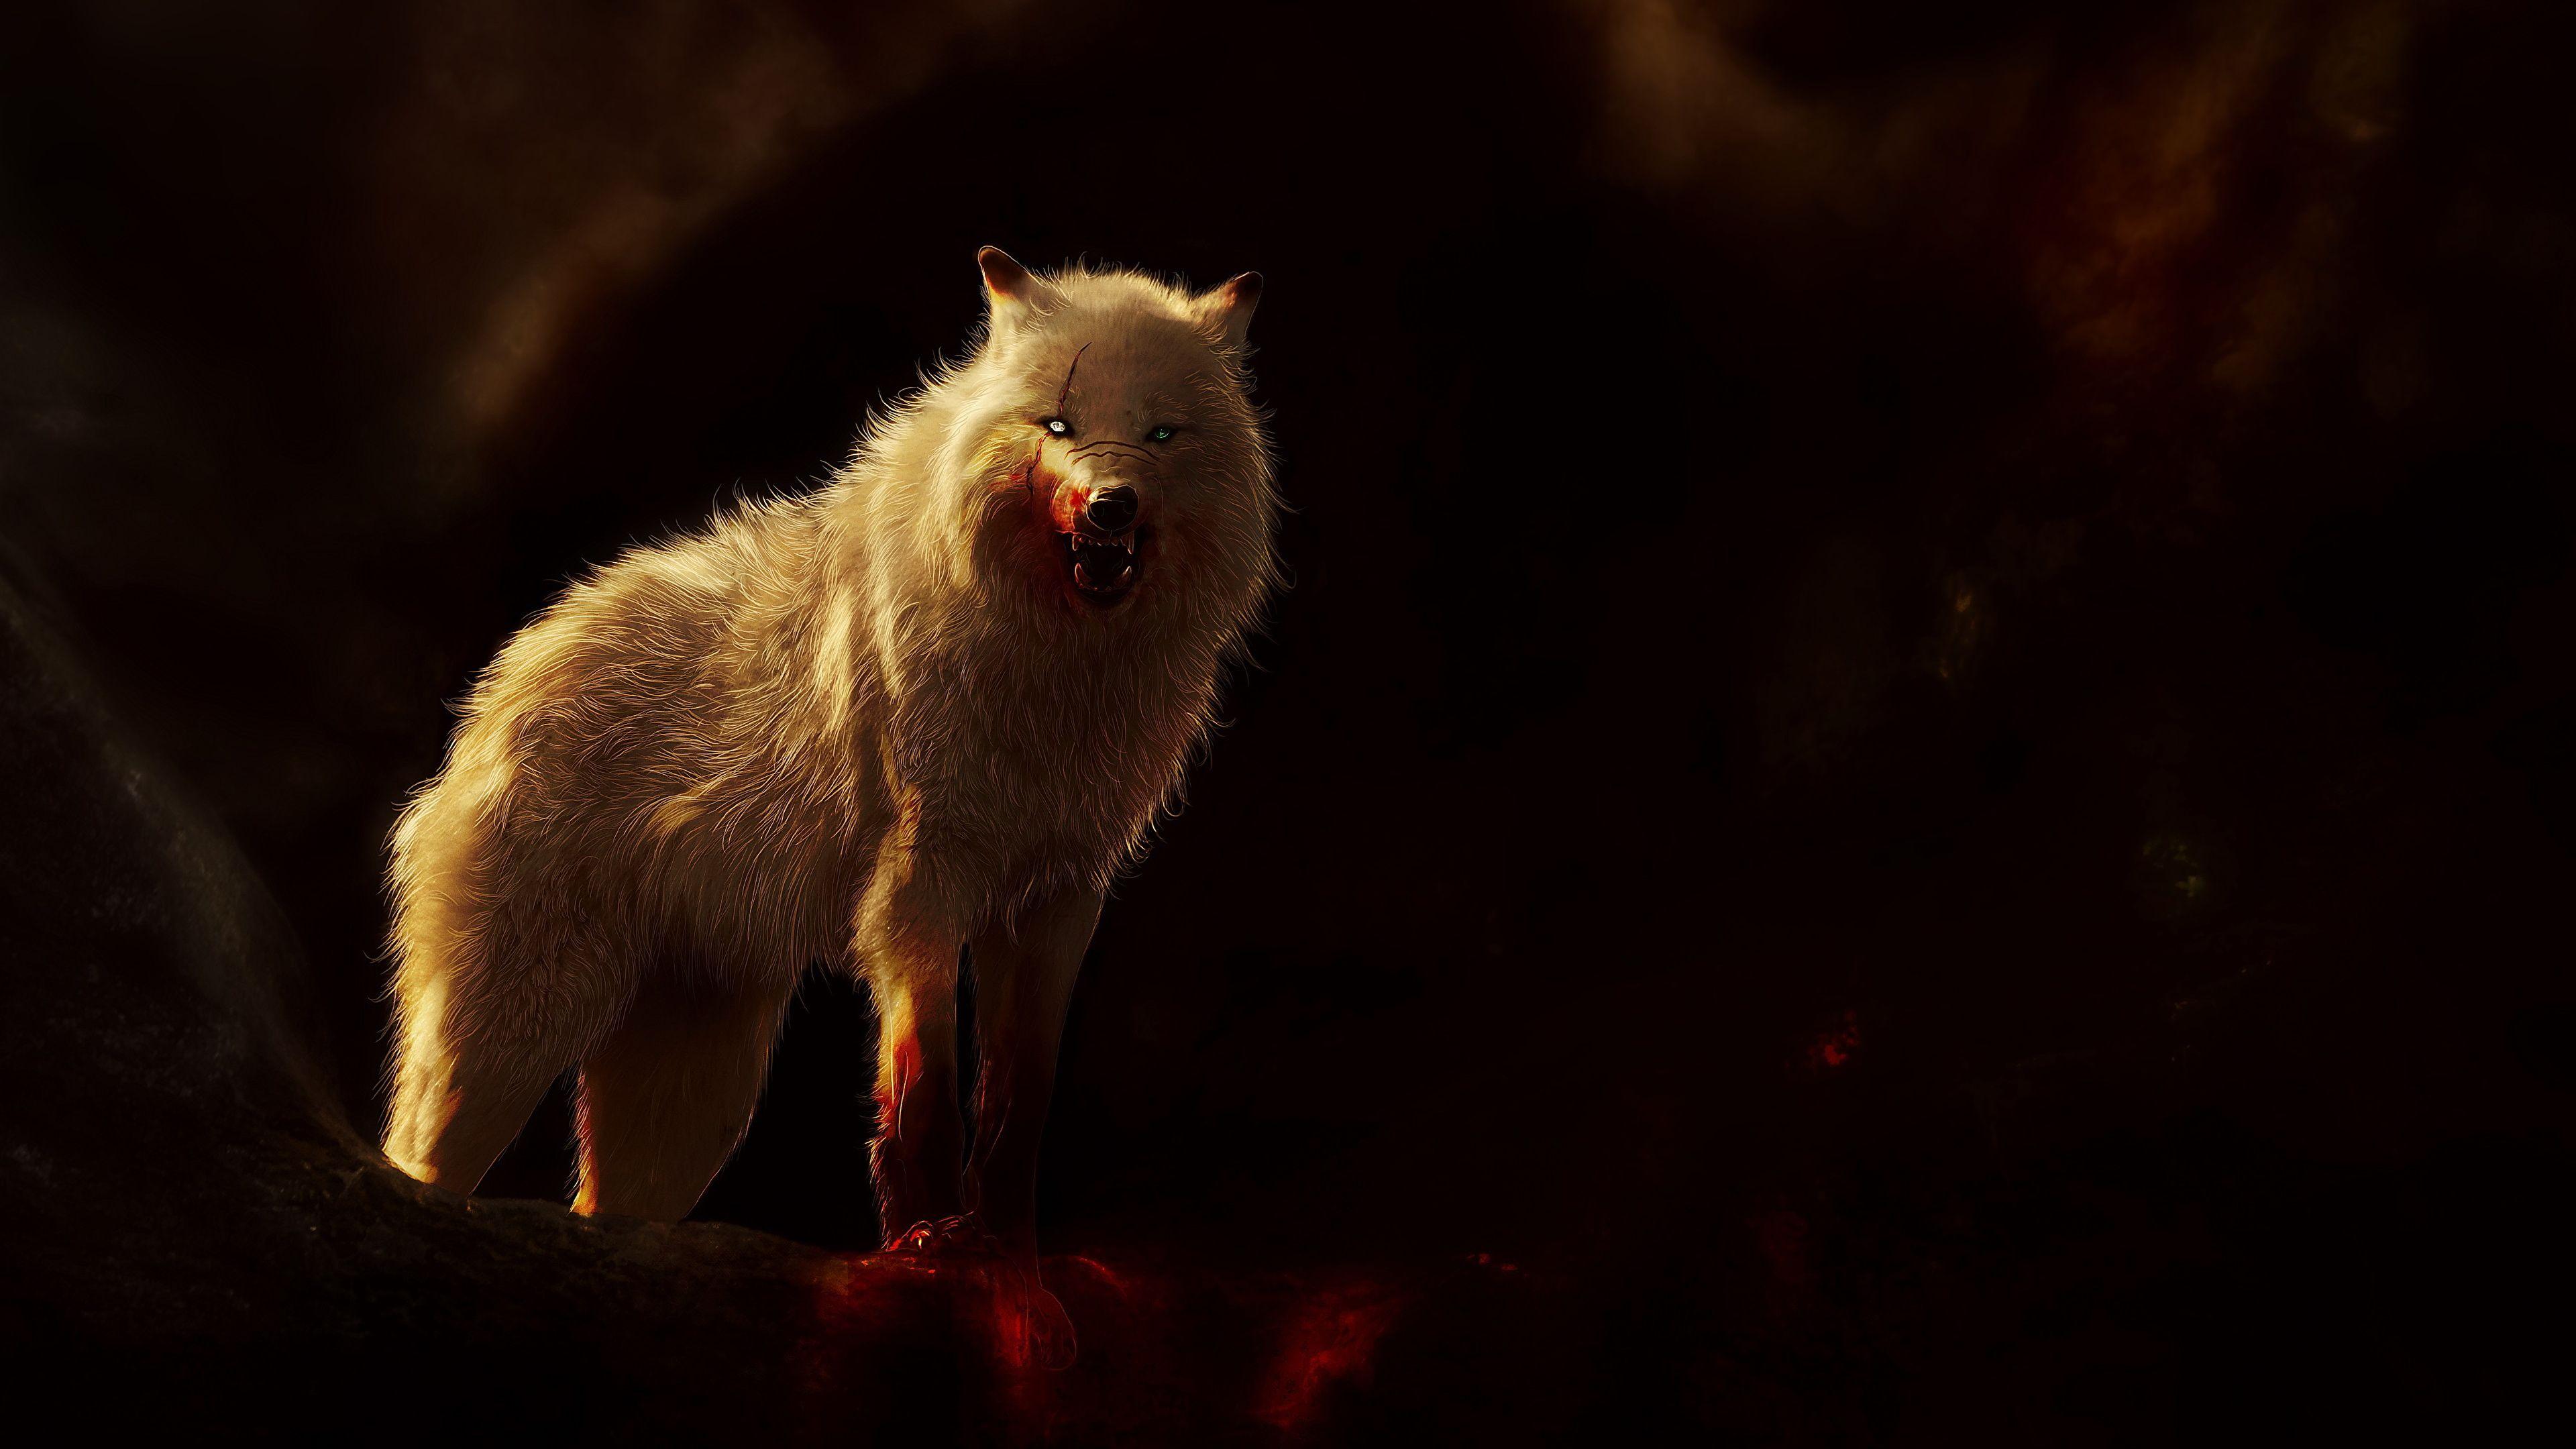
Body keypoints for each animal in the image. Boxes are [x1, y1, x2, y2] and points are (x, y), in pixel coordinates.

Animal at [379, 248, 1277, 1362]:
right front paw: (934, 1253)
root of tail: (509, 673)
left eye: (1162, 433)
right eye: (1059, 424)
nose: (1112, 505)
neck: (1053, 671)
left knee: (601, 1215)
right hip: (505, 1042)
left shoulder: (1055, 907)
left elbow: (1015, 1117)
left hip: (691, 1105)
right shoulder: (918, 895)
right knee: (419, 1164)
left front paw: (1020, 1285)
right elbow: (925, 1097)